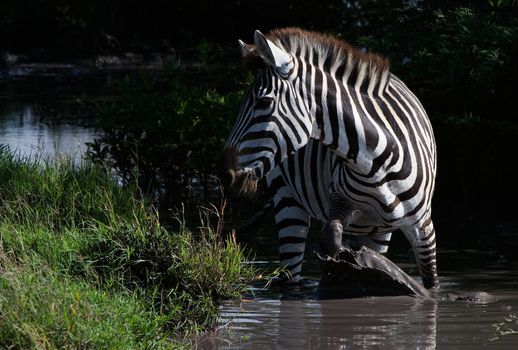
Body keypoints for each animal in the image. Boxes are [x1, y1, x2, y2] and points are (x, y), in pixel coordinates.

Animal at [221, 27, 440, 288]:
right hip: (287, 198)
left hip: (380, 230)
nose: (225, 175)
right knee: (290, 276)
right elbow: (332, 236)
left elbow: (431, 283)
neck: (377, 166)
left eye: (264, 102)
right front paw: (339, 268)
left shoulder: (424, 229)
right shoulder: (339, 201)